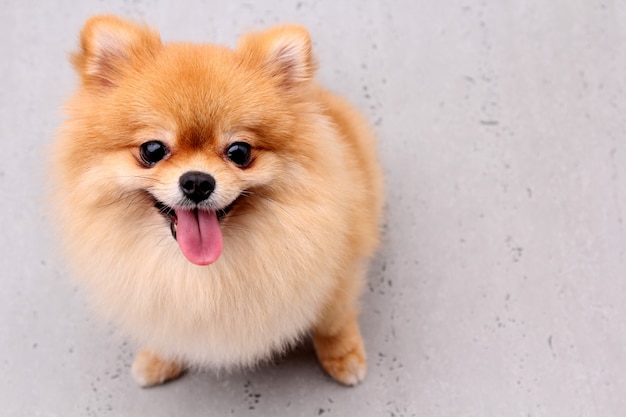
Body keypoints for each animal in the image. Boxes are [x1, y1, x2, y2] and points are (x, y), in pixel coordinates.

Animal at [53, 16, 382, 386]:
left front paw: (343, 356)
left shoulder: (339, 273)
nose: (197, 182)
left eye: (239, 152)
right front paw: (159, 359)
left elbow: (334, 321)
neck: (204, 271)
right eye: (152, 150)